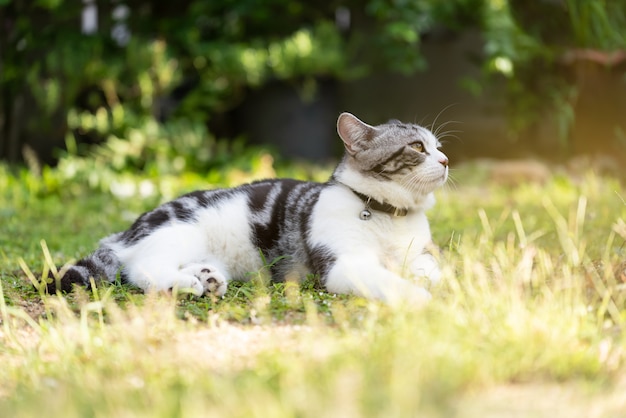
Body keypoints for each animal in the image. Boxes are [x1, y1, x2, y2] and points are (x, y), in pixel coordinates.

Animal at [50, 112, 448, 304]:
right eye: (417, 147)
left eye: (438, 147)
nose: (445, 160)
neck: (389, 215)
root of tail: (127, 232)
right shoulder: (345, 265)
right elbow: (389, 280)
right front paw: (419, 298)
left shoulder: (422, 254)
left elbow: (435, 271)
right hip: (180, 231)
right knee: (141, 268)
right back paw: (187, 282)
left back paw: (206, 278)